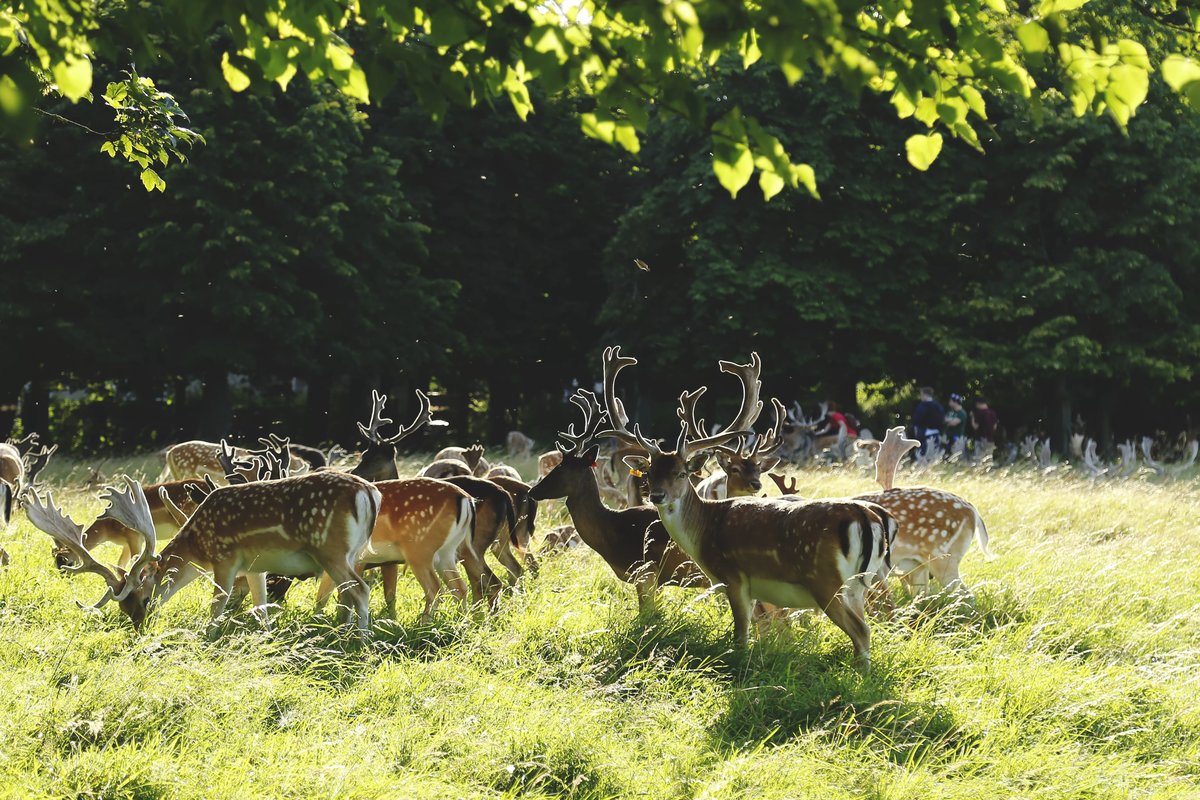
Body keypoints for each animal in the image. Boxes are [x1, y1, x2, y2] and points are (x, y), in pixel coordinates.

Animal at [26, 472, 381, 636]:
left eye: (144, 598)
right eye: (123, 609)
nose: (141, 629)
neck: (197, 548)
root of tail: (368, 492)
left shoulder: (225, 557)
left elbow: (217, 605)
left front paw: (207, 637)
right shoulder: (255, 567)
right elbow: (260, 606)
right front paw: (265, 637)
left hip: (330, 550)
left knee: (360, 590)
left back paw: (360, 640)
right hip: (353, 554)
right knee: (349, 592)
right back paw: (346, 632)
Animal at [597, 346, 895, 665]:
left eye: (681, 473)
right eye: (650, 473)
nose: (657, 497)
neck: (703, 532)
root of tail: (867, 517)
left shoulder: (734, 576)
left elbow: (741, 635)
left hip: (827, 581)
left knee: (861, 630)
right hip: (860, 584)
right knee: (865, 627)